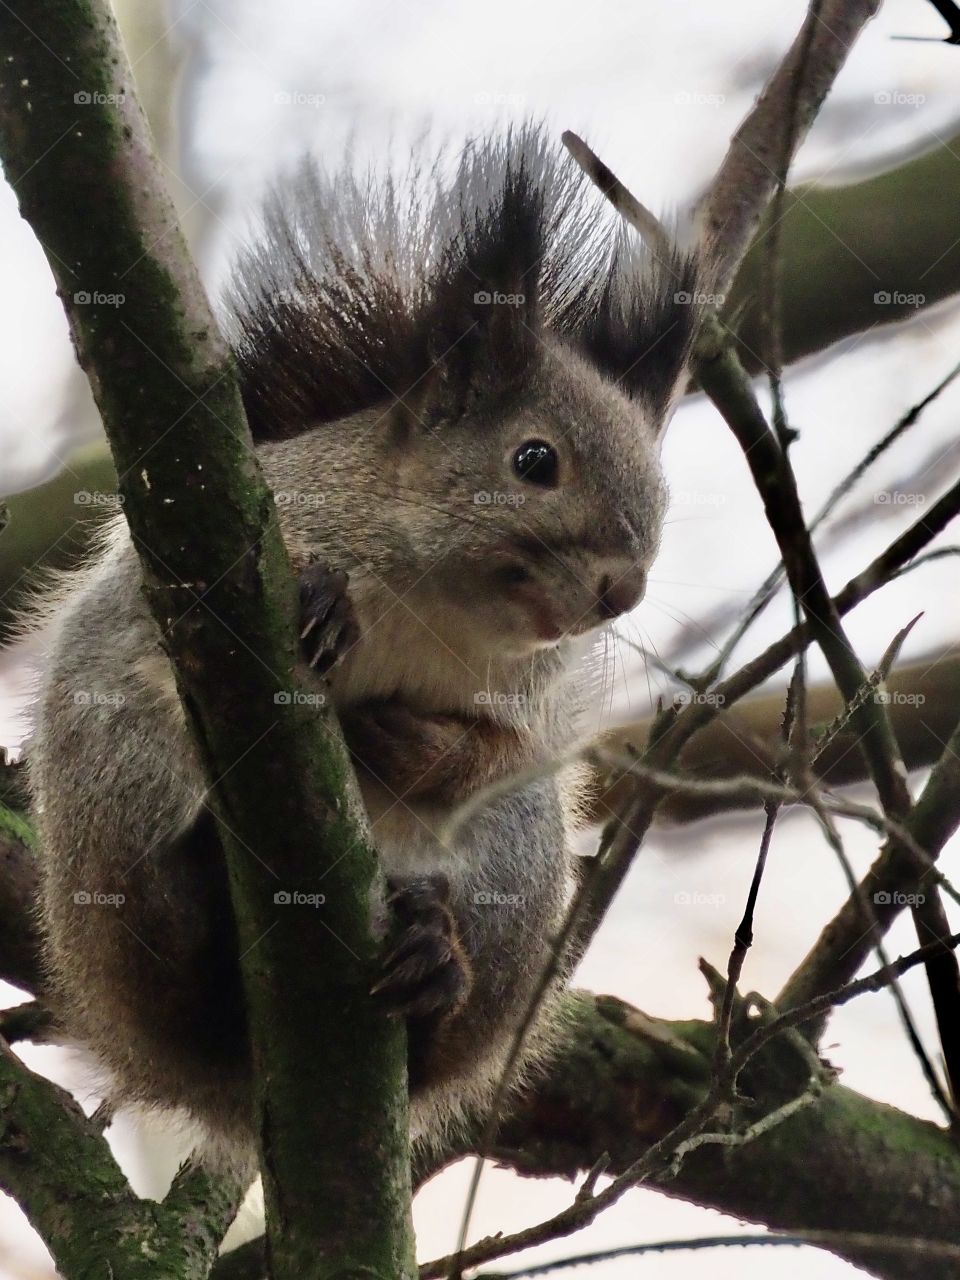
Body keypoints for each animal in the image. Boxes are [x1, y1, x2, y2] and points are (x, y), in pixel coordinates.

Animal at [24, 125, 700, 1162]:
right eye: (534, 461)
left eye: (663, 494)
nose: (621, 588)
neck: (438, 599)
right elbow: (171, 623)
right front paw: (322, 605)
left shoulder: (531, 701)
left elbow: (501, 752)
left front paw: (411, 743)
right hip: (114, 801)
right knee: (168, 968)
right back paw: (194, 900)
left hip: (515, 869)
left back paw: (433, 968)